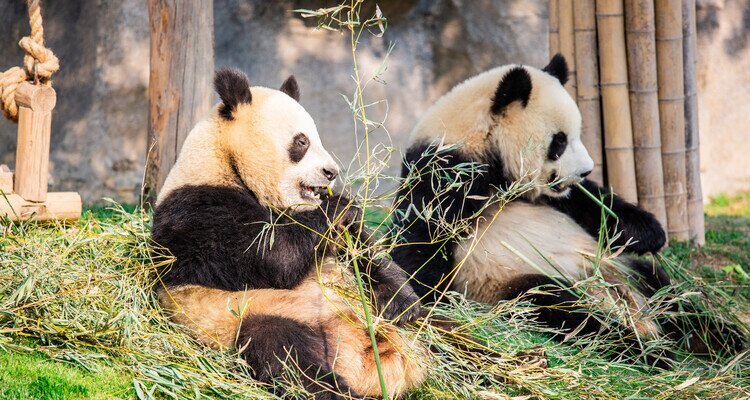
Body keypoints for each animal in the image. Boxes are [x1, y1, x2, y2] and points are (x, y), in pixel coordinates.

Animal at [151, 68, 424, 399]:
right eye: (302, 141)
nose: (331, 172)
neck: (225, 160)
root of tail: (373, 363)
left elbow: (363, 251)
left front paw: (403, 301)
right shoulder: (198, 209)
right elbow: (273, 258)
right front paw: (340, 203)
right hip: (258, 314)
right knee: (286, 354)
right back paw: (340, 390)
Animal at [391, 54, 744, 365]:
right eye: (559, 141)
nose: (586, 170)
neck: (481, 141)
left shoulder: (552, 193)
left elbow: (593, 205)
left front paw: (649, 232)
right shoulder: (444, 173)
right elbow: (420, 243)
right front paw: (429, 300)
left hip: (621, 268)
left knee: (666, 290)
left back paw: (719, 339)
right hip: (516, 282)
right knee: (566, 310)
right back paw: (647, 349)